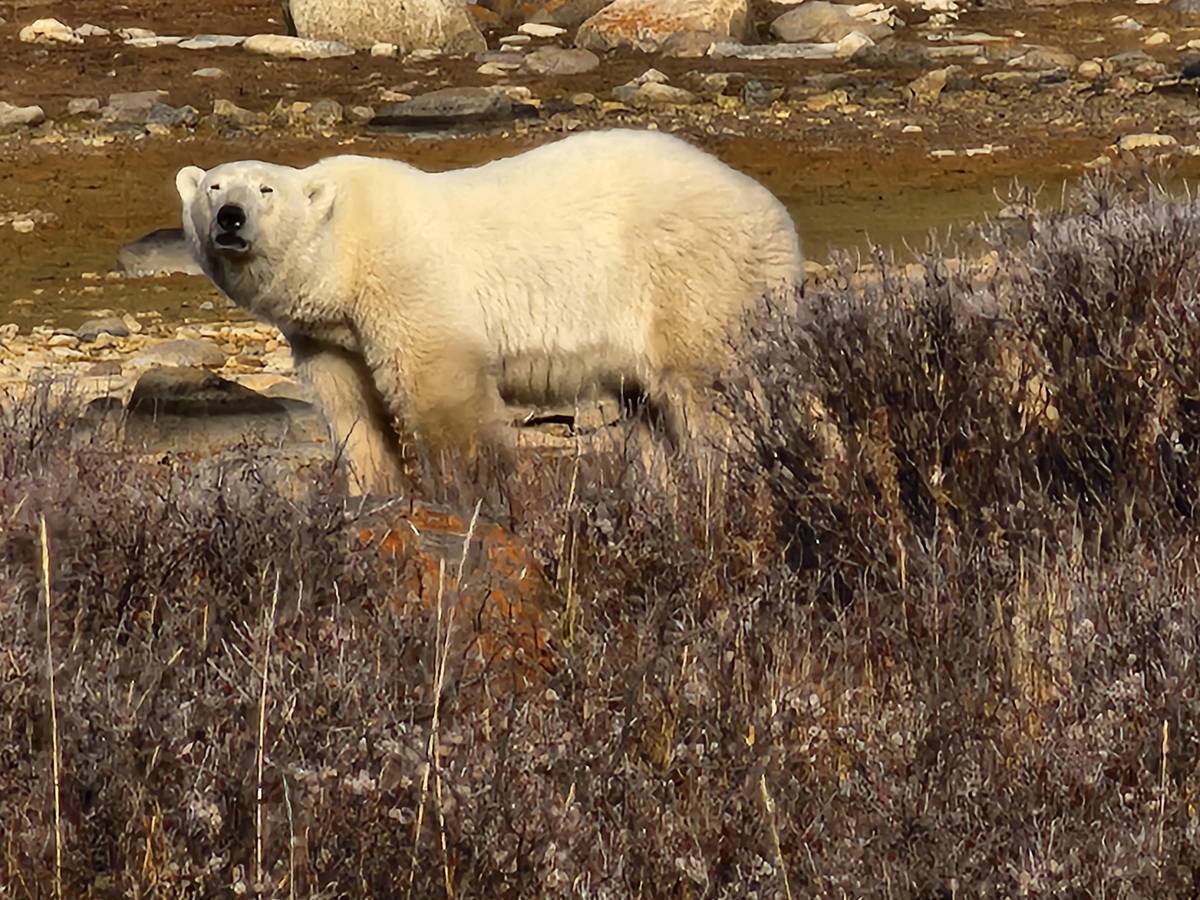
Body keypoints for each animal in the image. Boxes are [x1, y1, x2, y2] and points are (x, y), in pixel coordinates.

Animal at [175, 127, 804, 496]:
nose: (230, 217)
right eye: (212, 187)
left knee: (711, 386)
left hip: (692, 274)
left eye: (265, 189)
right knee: (649, 407)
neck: (343, 248)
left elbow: (440, 390)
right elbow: (348, 405)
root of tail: (775, 214)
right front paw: (375, 492)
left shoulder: (405, 278)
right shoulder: (327, 333)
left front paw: (471, 493)